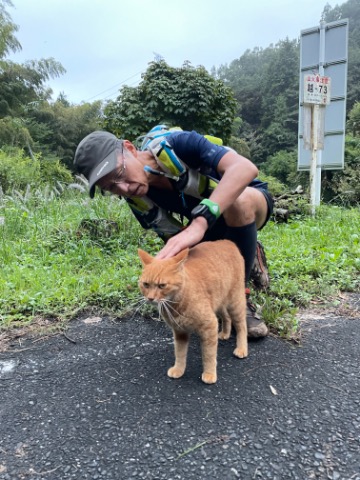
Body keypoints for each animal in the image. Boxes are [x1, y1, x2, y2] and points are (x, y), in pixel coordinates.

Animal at [138, 240, 248, 386]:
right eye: (145, 284)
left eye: (162, 286)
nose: (150, 298)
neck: (175, 305)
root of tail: (227, 241)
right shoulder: (179, 331)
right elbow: (179, 353)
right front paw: (178, 369)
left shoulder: (209, 326)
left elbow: (209, 354)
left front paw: (209, 373)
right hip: (219, 302)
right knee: (226, 316)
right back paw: (225, 333)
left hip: (235, 301)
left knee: (242, 325)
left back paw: (242, 348)